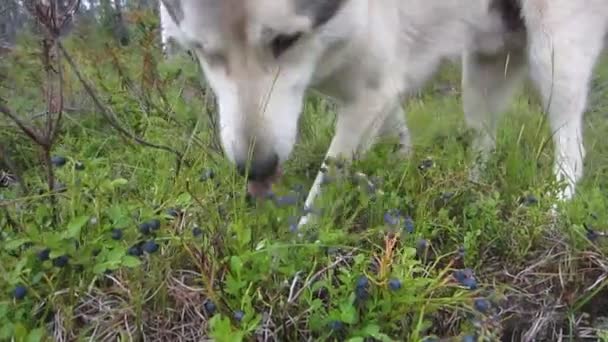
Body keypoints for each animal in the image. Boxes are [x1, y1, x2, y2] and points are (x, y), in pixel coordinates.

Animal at [160, 0, 608, 227]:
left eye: (286, 40)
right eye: (203, 51)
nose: (257, 169)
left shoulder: (370, 95)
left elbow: (325, 185)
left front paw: (298, 254)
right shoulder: (379, 93)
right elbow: (399, 142)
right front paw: (405, 181)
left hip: (553, 56)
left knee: (571, 150)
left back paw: (554, 213)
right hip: (483, 68)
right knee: (484, 141)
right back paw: (471, 191)